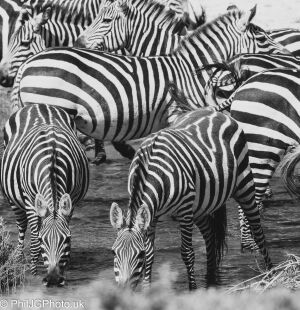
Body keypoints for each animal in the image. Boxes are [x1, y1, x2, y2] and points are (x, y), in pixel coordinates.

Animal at [0, 103, 89, 286]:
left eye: (67, 239)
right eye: (42, 240)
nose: (54, 279)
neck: (52, 162)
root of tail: (39, 104)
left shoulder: (71, 200)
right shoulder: (29, 201)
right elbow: (33, 237)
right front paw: (33, 272)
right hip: (14, 197)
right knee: (22, 225)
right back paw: (19, 258)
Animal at [109, 108, 272, 290]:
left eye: (139, 254)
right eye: (114, 252)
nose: (123, 291)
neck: (153, 171)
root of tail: (215, 111)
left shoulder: (184, 209)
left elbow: (187, 253)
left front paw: (192, 289)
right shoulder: (152, 214)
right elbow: (151, 254)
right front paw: (147, 290)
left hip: (244, 185)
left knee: (258, 232)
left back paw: (270, 273)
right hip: (200, 205)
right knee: (210, 233)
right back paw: (210, 278)